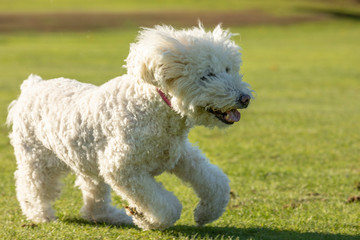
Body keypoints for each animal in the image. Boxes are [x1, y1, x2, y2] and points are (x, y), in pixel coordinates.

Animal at [6, 24, 253, 231]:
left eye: (228, 69)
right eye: (207, 75)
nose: (245, 98)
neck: (156, 108)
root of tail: (32, 86)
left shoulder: (180, 155)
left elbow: (216, 183)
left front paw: (204, 214)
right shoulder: (123, 169)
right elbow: (167, 207)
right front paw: (144, 218)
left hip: (88, 163)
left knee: (93, 199)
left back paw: (110, 216)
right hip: (37, 158)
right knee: (31, 187)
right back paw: (40, 215)